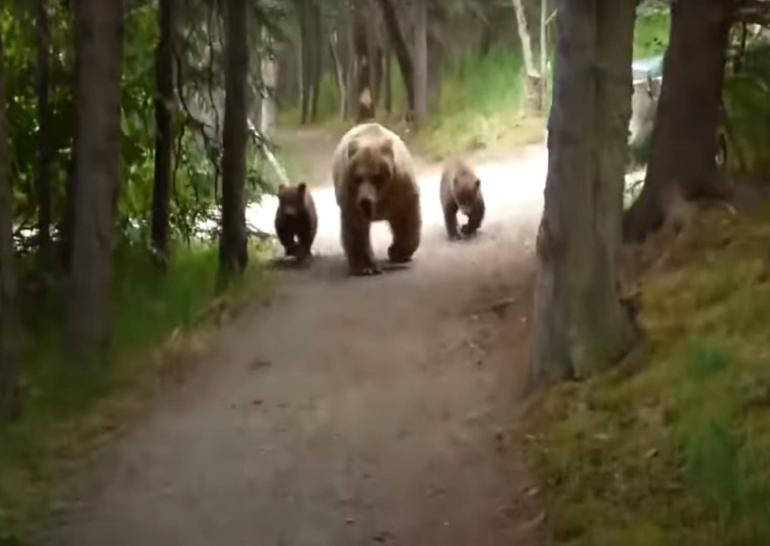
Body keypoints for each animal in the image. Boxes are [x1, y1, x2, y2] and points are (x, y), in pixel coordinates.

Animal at [332, 123, 421, 276]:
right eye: (358, 177)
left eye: (376, 177)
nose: (365, 200)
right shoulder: (351, 196)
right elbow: (356, 227)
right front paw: (366, 267)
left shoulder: (400, 187)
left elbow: (406, 219)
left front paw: (397, 252)